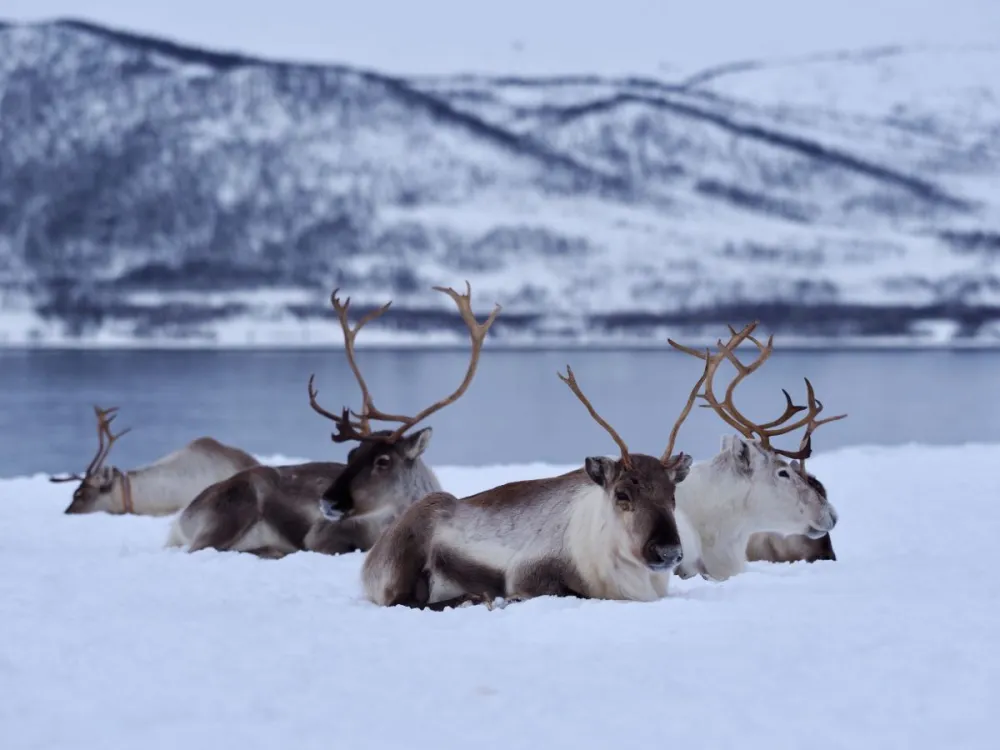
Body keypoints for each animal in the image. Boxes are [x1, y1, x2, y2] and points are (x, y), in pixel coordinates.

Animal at [165, 282, 501, 559]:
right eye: (351, 454)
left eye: (383, 461)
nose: (327, 503)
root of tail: (181, 518)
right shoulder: (320, 536)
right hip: (234, 508)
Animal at [361, 365, 699, 611]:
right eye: (622, 494)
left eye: (672, 496)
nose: (668, 551)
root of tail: (367, 566)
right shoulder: (526, 573)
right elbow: (566, 593)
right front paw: (506, 600)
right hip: (411, 545)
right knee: (402, 601)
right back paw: (472, 598)